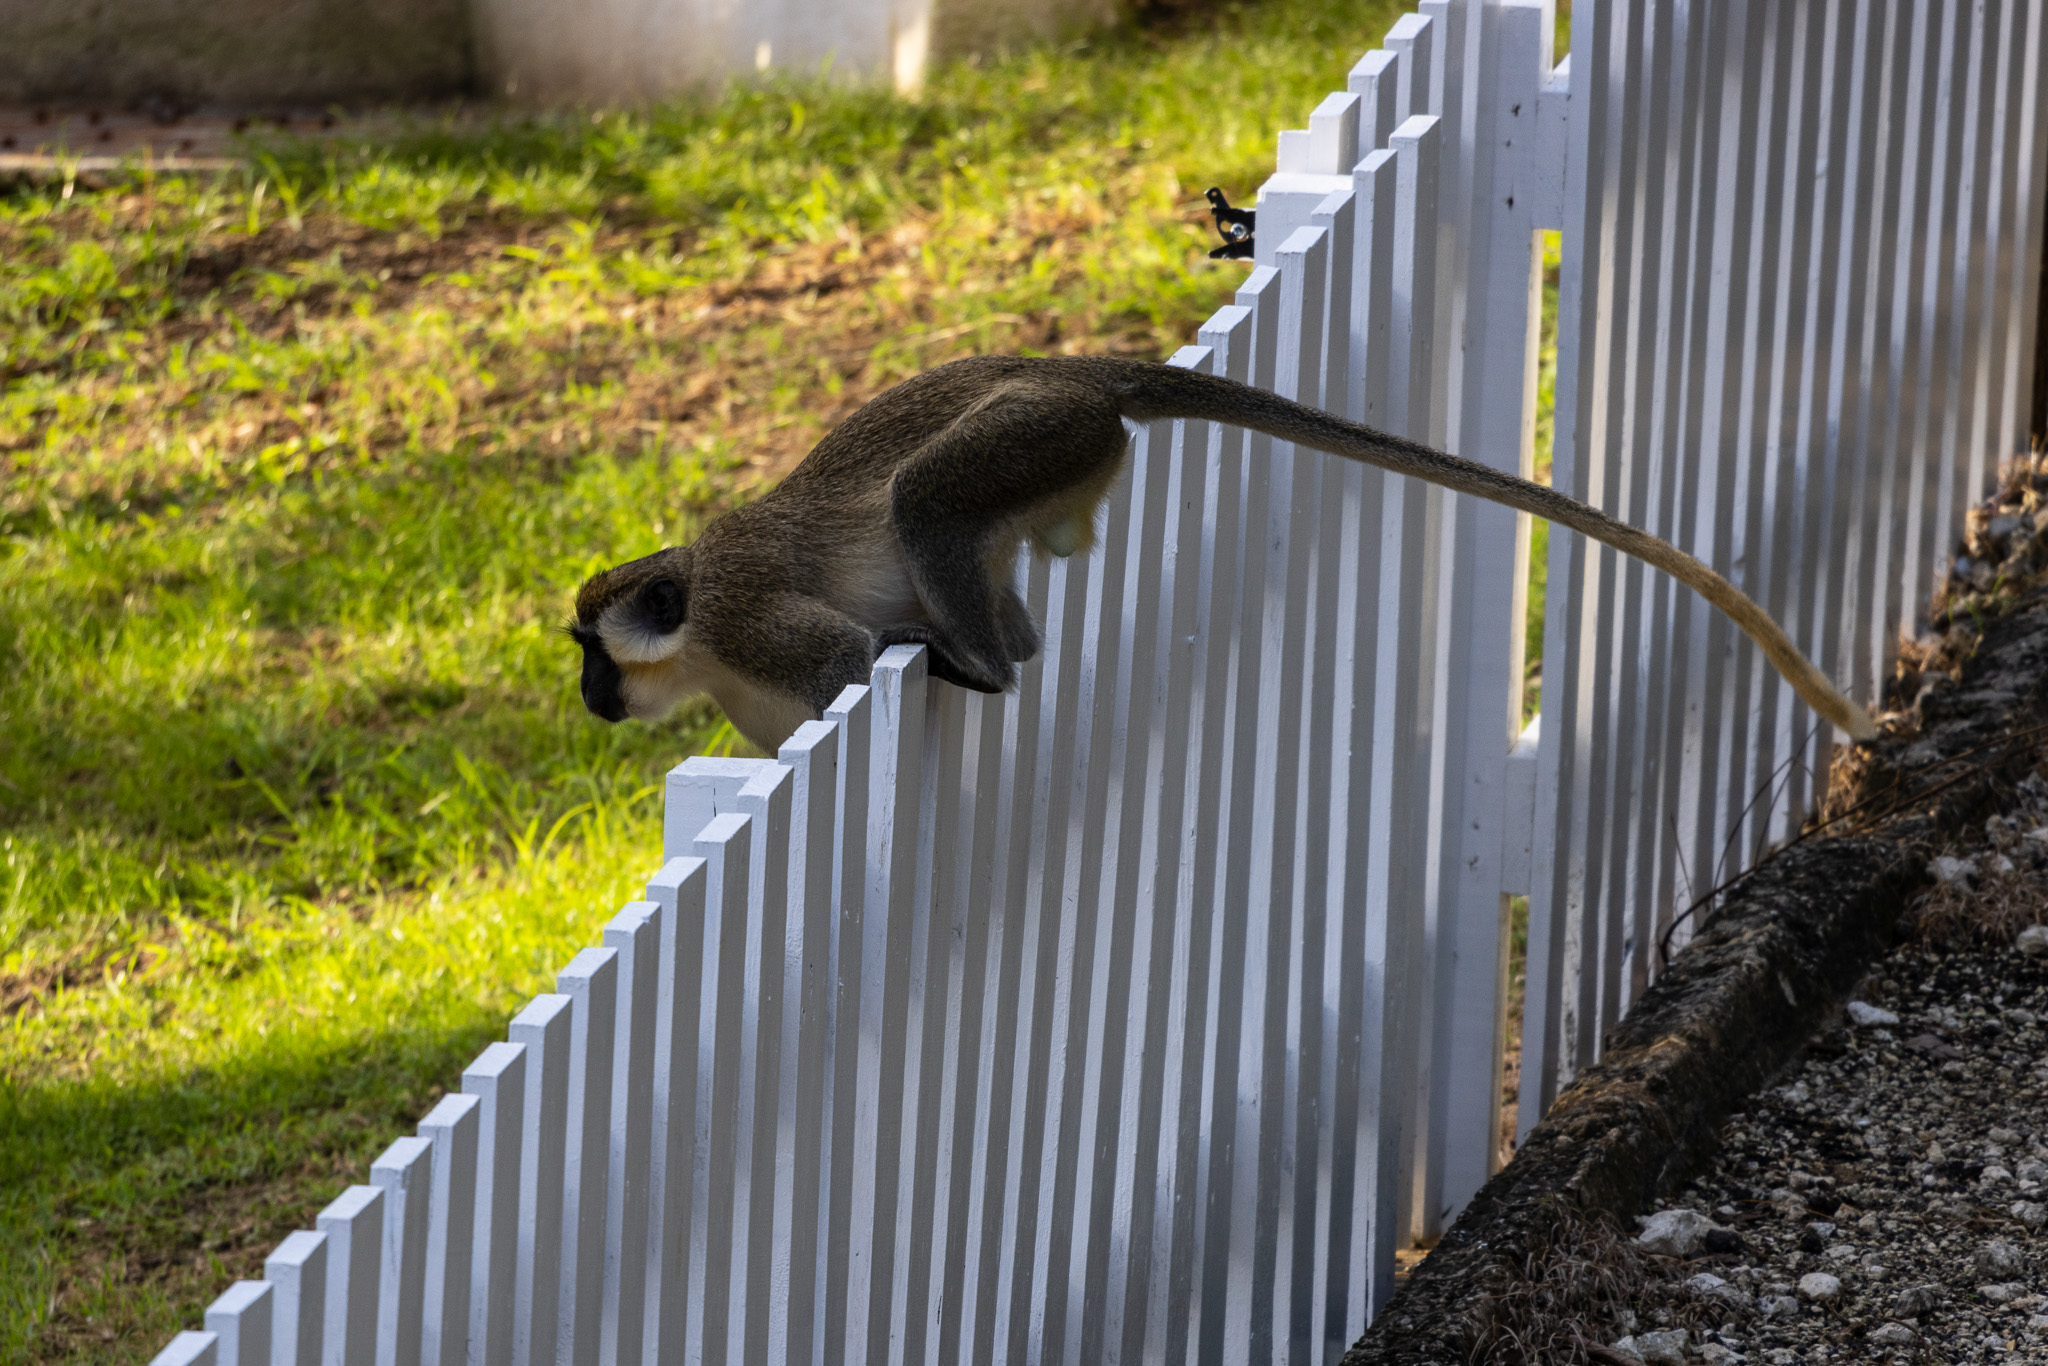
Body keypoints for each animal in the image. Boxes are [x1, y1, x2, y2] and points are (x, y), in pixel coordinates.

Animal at [569, 354, 1880, 752]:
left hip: (1034, 433)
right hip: (1053, 463)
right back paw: (999, 648)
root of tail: (1079, 368)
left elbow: (840, 658)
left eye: (589, 646)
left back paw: (975, 666)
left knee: (924, 496)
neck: (694, 646)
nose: (586, 695)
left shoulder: (744, 618)